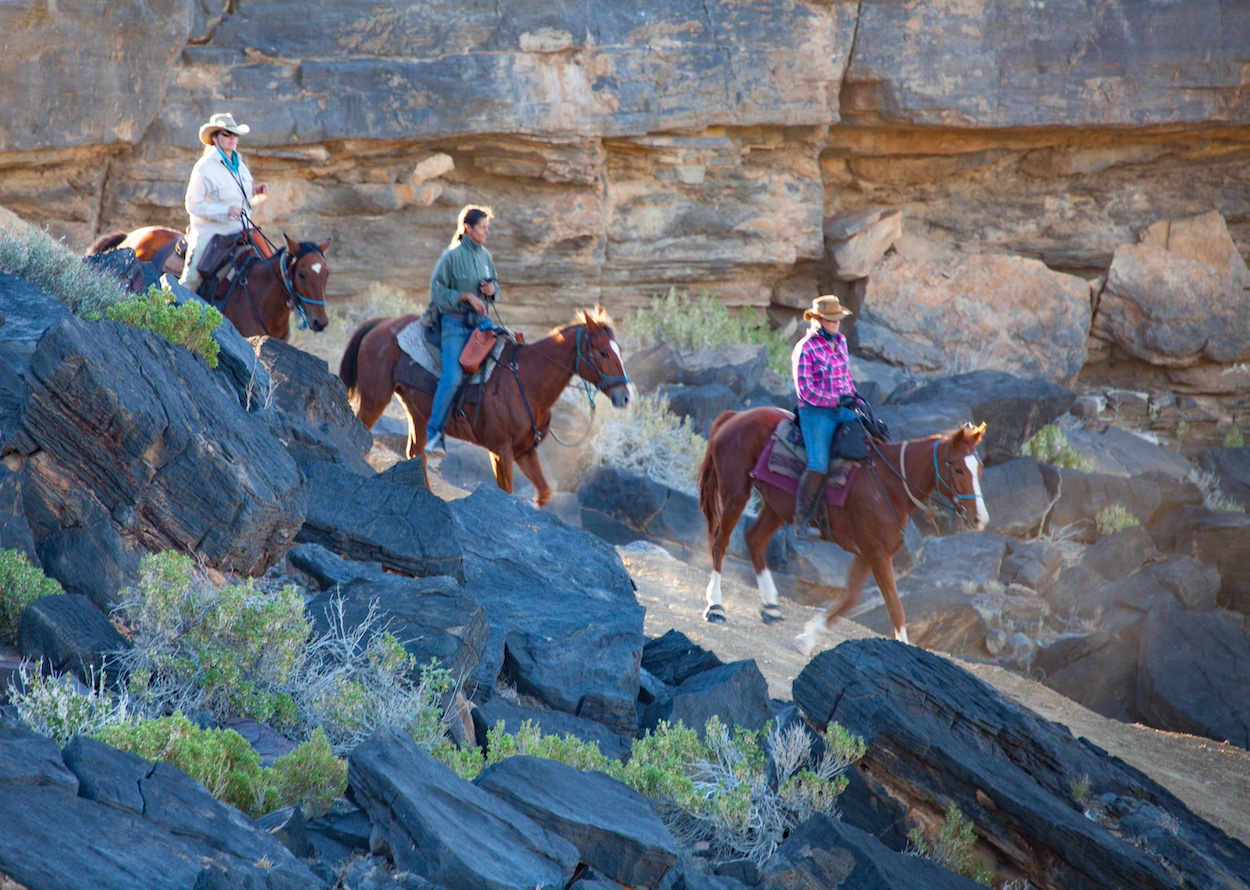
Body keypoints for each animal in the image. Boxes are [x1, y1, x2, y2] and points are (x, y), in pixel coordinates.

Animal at [340, 306, 630, 505]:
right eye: (603, 352)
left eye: (619, 350)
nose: (625, 396)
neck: (527, 380)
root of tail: (381, 324)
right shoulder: (501, 451)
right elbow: (506, 492)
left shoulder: (525, 452)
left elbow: (544, 492)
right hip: (375, 399)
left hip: (417, 413)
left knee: (415, 453)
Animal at [695, 410, 985, 655]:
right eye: (958, 469)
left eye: (979, 468)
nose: (980, 518)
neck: (889, 483)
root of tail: (735, 416)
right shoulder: (876, 553)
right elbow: (895, 609)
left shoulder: (866, 554)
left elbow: (849, 599)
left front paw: (806, 639)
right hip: (735, 492)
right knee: (720, 542)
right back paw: (716, 606)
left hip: (776, 508)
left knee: (754, 540)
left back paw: (771, 607)